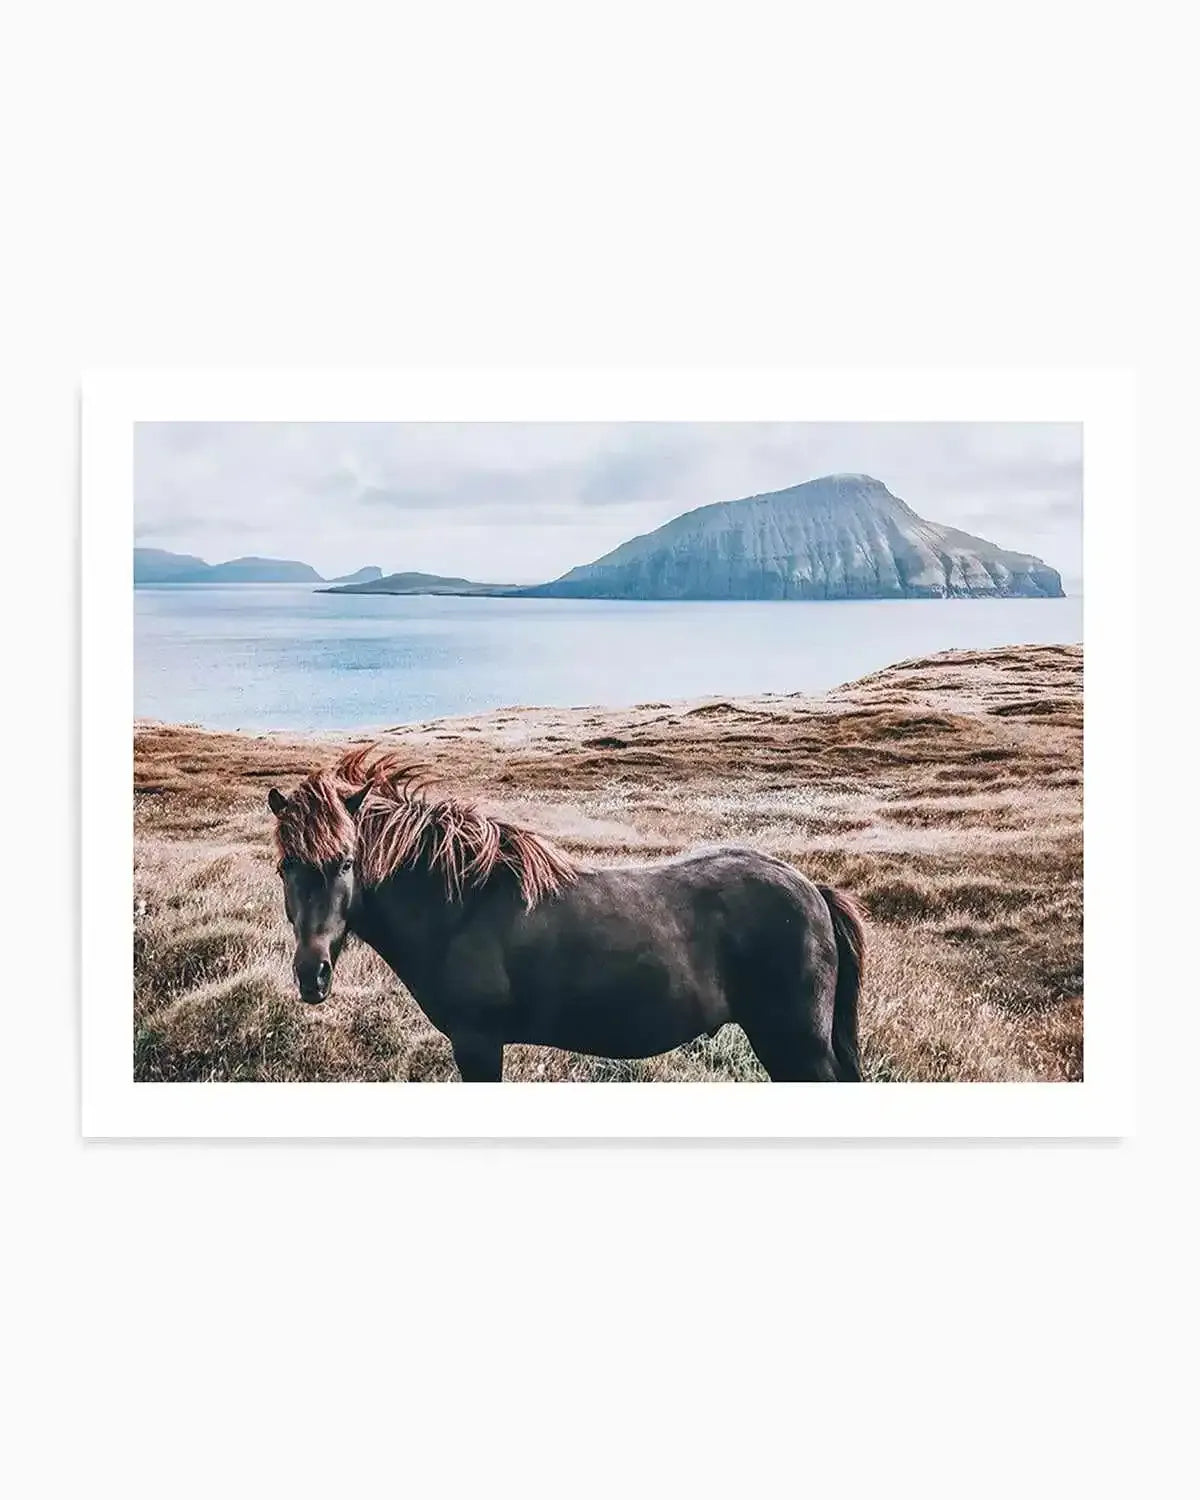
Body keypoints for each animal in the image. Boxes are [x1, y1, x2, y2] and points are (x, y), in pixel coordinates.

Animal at [267, 748, 866, 1082]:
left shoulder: (477, 1043)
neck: (460, 906)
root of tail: (814, 891)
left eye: (346, 862)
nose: (312, 975)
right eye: (284, 867)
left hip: (796, 1046)